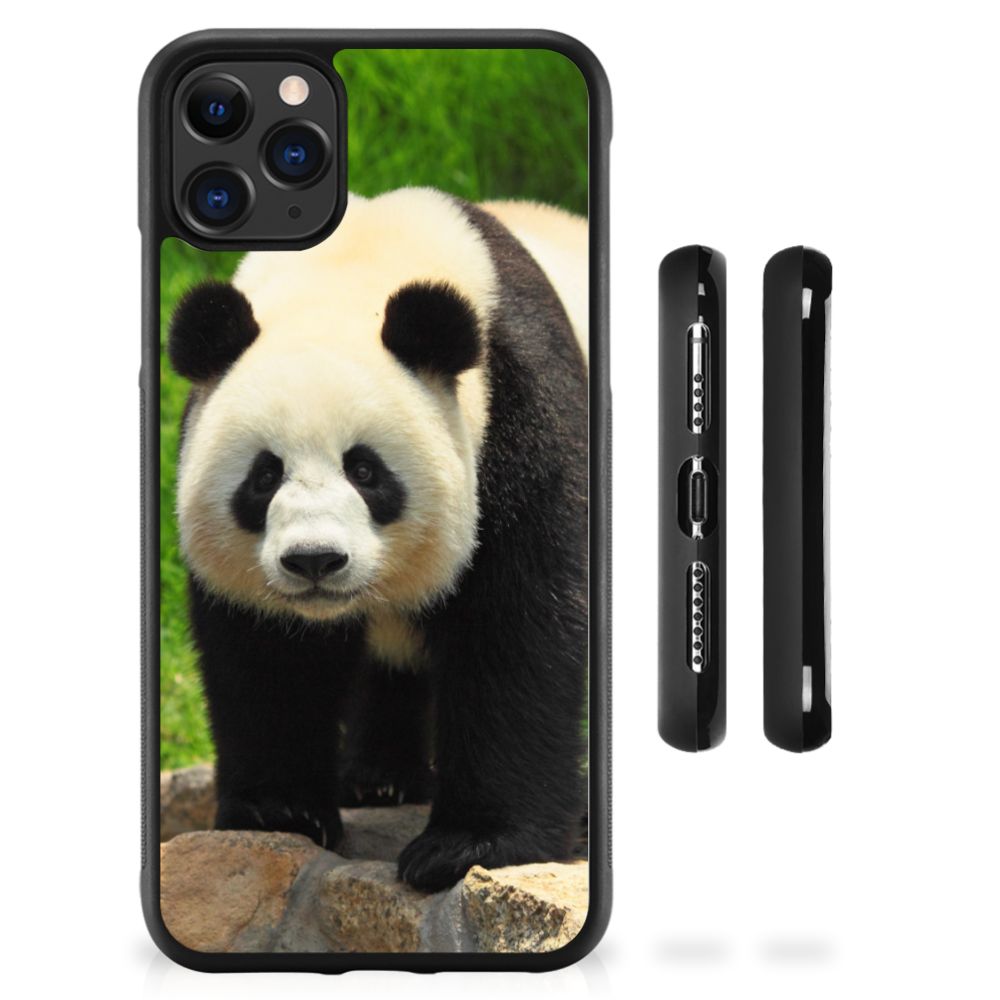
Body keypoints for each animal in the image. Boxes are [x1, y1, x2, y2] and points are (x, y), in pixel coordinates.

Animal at [168, 187, 589, 893]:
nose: (314, 561)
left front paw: (468, 845)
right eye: (264, 475)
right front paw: (280, 811)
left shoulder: (521, 415)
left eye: (365, 471)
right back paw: (379, 779)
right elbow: (266, 654)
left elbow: (520, 628)